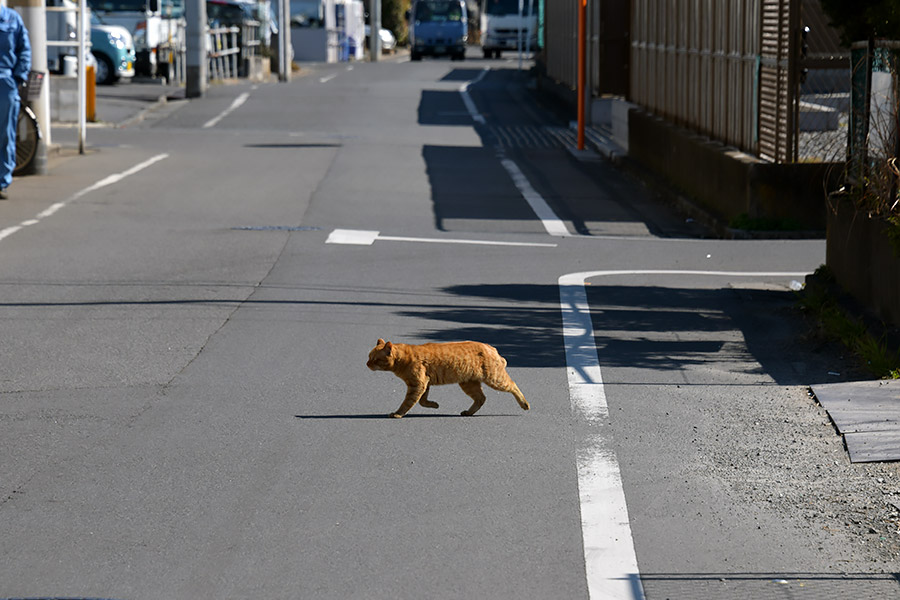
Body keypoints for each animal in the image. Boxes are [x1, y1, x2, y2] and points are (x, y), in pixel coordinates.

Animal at [366, 338, 532, 418]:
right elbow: (422, 401)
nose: (367, 364)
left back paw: (525, 404)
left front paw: (398, 414)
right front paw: (435, 405)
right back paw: (468, 413)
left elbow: (408, 403)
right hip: (468, 383)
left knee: (513, 385)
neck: (404, 359)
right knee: (481, 398)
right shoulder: (424, 384)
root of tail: (492, 347)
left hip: (495, 379)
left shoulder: (418, 384)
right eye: (369, 357)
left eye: (375, 360)